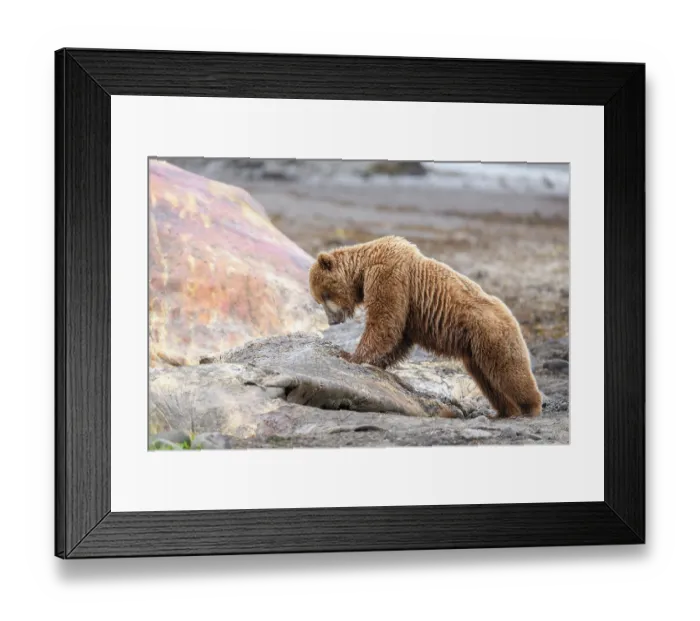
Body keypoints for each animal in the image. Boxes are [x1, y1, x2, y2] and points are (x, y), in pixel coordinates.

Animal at [308, 235, 542, 418]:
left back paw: (530, 407)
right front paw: (374, 362)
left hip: (491, 334)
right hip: (476, 350)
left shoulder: (389, 276)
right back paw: (504, 411)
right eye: (319, 299)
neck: (363, 269)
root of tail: (509, 313)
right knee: (488, 379)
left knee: (509, 371)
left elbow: (384, 323)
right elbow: (398, 338)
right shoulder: (406, 310)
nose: (332, 321)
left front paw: (349, 356)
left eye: (324, 295)